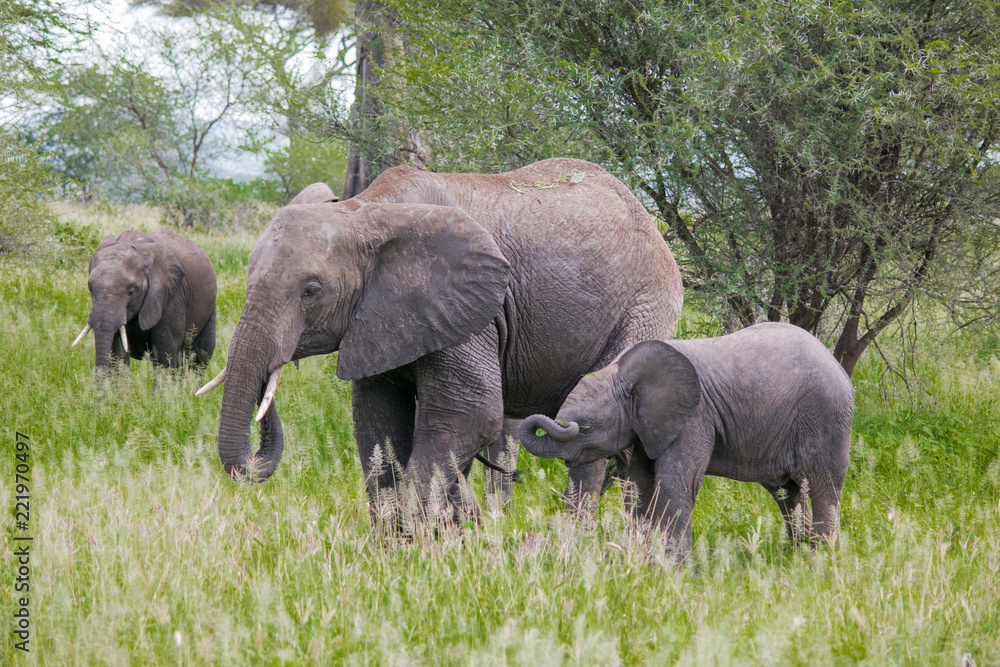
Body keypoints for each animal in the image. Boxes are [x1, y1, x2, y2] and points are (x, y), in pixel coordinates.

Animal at [72, 227, 217, 376]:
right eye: (90, 287)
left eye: (131, 291)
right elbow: (119, 359)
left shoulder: (172, 298)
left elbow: (165, 357)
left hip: (210, 308)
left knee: (201, 356)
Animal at [199, 158, 683, 519]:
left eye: (311, 290)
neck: (363, 210)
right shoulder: (382, 318)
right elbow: (377, 423)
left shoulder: (469, 307)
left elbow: (470, 414)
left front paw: (417, 544)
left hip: (645, 304)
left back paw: (574, 539)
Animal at [519, 322, 854, 559]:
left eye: (586, 428)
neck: (623, 373)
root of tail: (837, 365)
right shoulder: (648, 425)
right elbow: (641, 485)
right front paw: (641, 562)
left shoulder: (694, 417)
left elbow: (676, 482)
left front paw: (672, 570)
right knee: (788, 493)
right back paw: (796, 558)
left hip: (826, 417)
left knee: (822, 487)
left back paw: (821, 562)